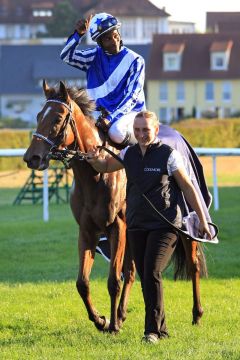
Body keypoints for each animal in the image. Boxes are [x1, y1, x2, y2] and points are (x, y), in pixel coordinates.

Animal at [23, 79, 209, 332]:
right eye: (39, 115)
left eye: (58, 117)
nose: (31, 157)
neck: (95, 176)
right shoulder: (88, 230)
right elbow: (83, 282)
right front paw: (102, 320)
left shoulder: (117, 226)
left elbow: (113, 281)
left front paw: (110, 325)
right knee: (131, 271)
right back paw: (120, 314)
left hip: (184, 222)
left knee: (193, 265)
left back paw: (197, 314)